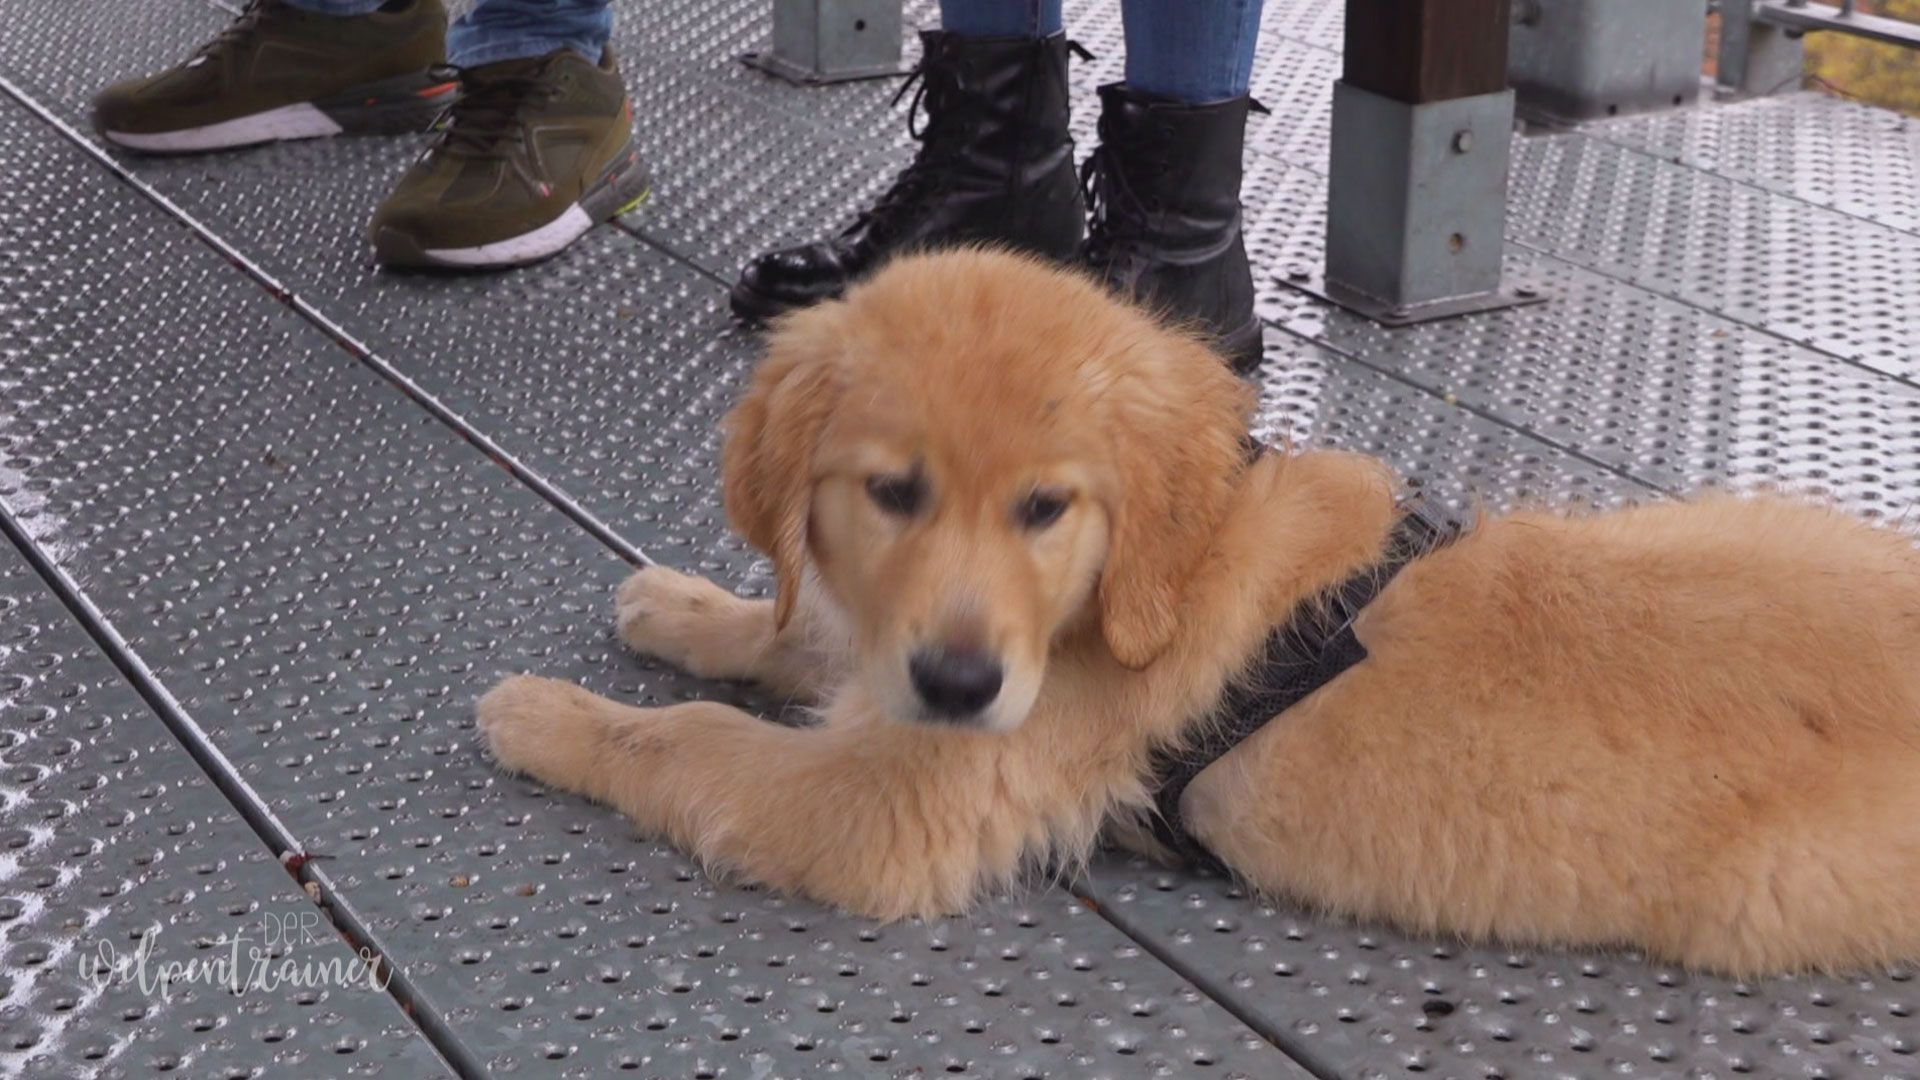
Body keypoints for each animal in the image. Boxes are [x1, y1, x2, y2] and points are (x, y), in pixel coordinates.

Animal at [483, 247, 1920, 972]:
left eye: (1047, 508)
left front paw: (545, 713)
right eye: (893, 492)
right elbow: (805, 627)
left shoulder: (890, 806)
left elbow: (691, 742)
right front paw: (685, 606)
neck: (1150, 575)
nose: (961, 688)